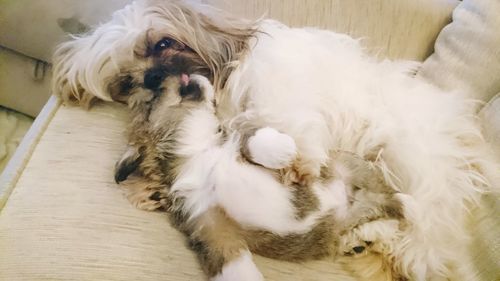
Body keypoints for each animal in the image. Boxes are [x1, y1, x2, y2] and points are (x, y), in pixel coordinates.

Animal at [115, 74, 404, 280]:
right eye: (152, 97)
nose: (167, 72)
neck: (198, 154)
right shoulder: (212, 230)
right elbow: (233, 265)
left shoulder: (249, 152)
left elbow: (254, 141)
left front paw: (282, 148)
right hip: (351, 213)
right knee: (378, 212)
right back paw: (367, 236)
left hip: (350, 165)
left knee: (393, 200)